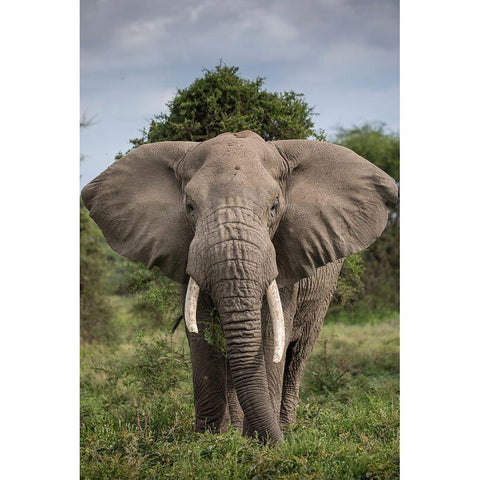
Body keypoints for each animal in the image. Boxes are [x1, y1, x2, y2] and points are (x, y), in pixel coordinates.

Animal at [81, 129, 398, 444]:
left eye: (274, 207)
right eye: (190, 207)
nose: (277, 444)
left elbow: (271, 335)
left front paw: (260, 444)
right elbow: (202, 333)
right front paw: (209, 441)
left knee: (297, 355)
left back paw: (285, 427)